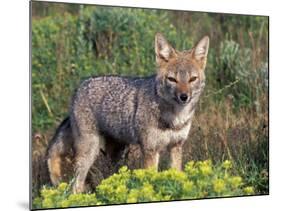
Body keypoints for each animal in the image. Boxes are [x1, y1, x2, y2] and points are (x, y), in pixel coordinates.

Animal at [46, 33, 208, 193]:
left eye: (192, 79)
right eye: (172, 79)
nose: (184, 97)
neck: (175, 119)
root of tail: (79, 87)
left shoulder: (176, 146)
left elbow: (177, 175)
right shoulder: (150, 150)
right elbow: (152, 179)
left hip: (117, 153)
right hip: (89, 151)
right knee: (76, 185)